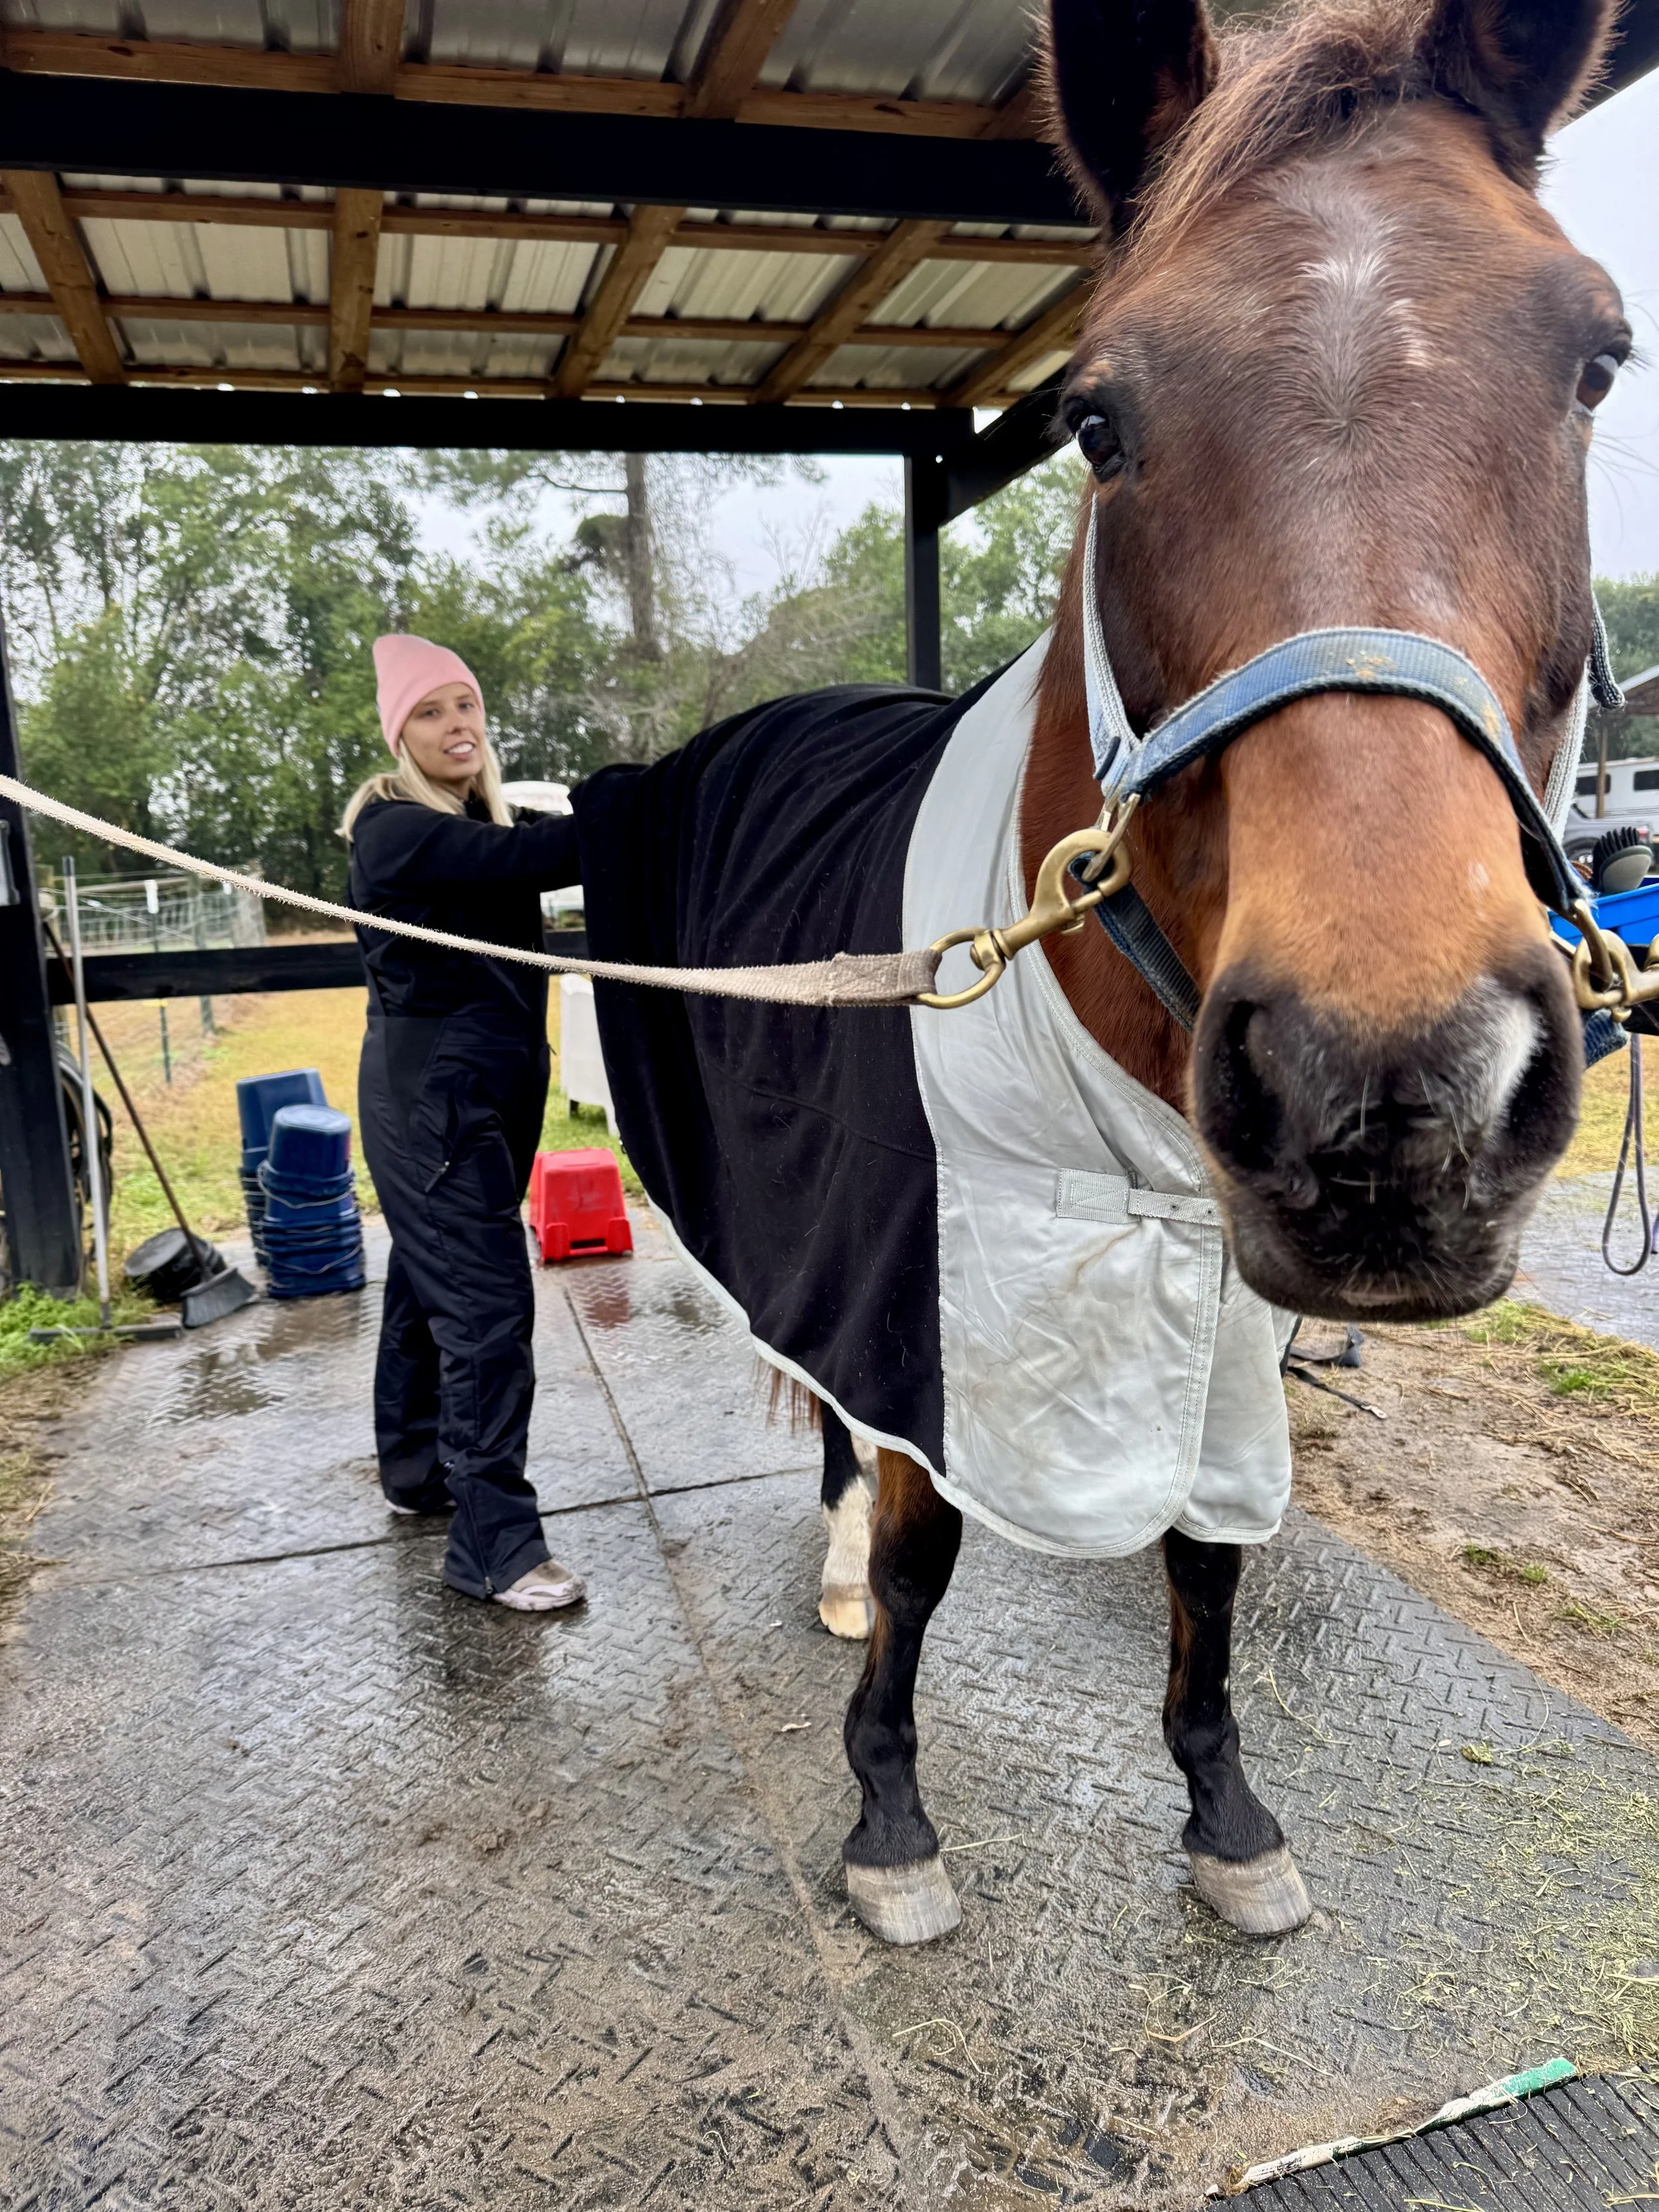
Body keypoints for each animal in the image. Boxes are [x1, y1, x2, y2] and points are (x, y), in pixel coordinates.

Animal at [574, 0, 1622, 1947]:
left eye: (1595, 361)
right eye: (1095, 416)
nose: (1395, 1094)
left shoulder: (1220, 1304)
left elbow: (1206, 1563)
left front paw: (1225, 1812)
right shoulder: (919, 1270)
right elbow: (927, 1545)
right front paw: (889, 1818)